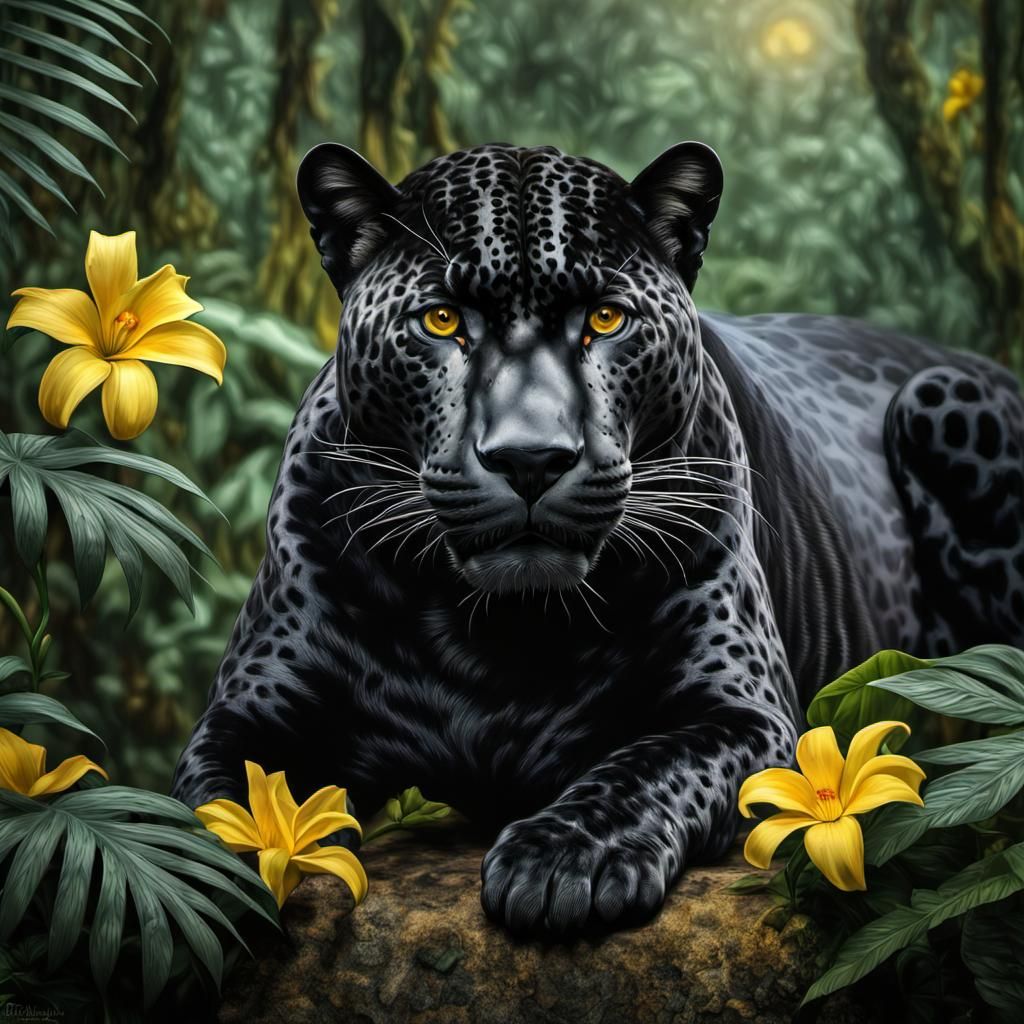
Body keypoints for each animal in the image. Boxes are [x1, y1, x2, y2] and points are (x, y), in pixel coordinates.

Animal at [171, 140, 1024, 936]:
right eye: (442, 320)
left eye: (606, 319)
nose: (530, 458)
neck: (492, 634)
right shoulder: (249, 717)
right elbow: (220, 817)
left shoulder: (742, 712)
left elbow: (644, 765)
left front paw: (563, 861)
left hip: (932, 398)